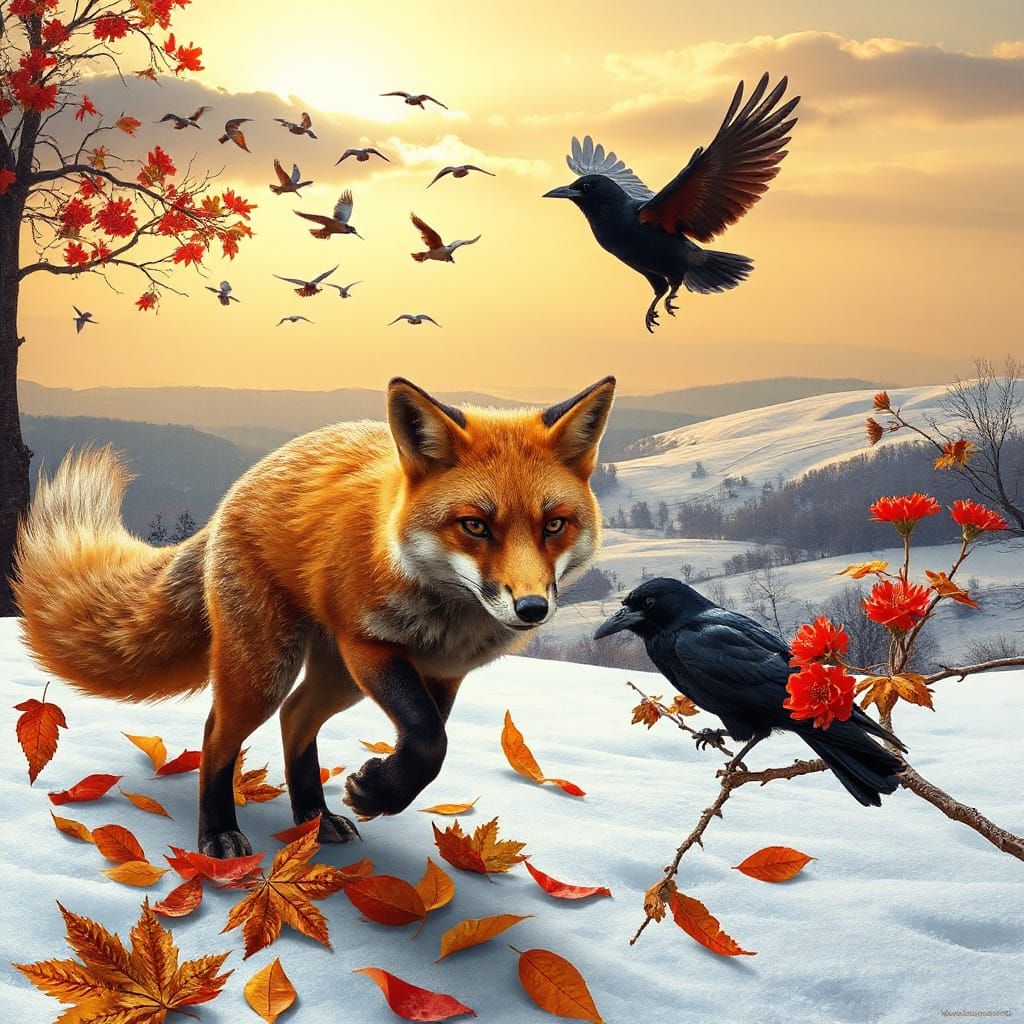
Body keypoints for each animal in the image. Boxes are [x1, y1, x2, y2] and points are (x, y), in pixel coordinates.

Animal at [13, 376, 616, 858]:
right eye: (475, 526)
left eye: (554, 525)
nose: (532, 608)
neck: (447, 621)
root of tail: (242, 484)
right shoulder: (367, 641)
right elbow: (428, 739)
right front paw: (378, 789)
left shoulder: (443, 672)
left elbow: (430, 742)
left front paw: (382, 791)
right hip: (270, 669)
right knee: (218, 731)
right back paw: (218, 833)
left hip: (335, 677)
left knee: (296, 716)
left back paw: (313, 817)